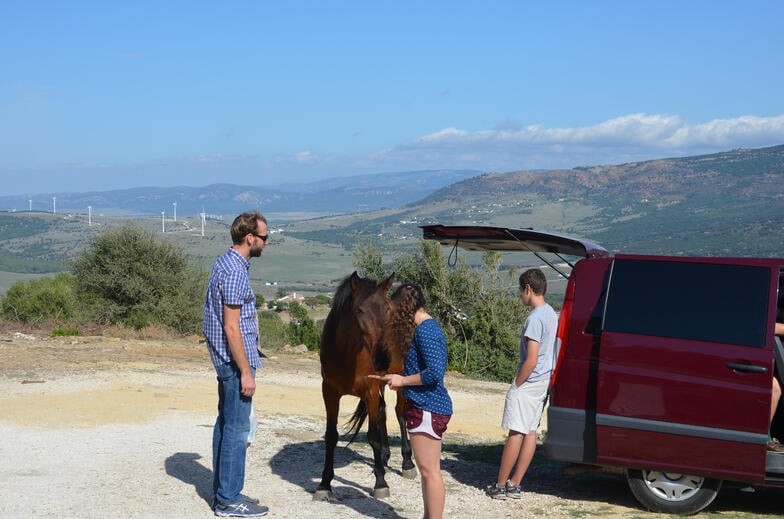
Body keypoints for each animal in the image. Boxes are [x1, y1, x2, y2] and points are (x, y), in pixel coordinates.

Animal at [316, 274, 420, 502]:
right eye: (360, 310)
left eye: (387, 309)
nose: (382, 358)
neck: (346, 354)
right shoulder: (329, 392)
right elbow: (331, 436)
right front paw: (324, 484)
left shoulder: (370, 391)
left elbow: (373, 436)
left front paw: (380, 483)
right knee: (383, 412)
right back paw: (384, 458)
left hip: (402, 382)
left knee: (400, 413)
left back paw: (407, 463)